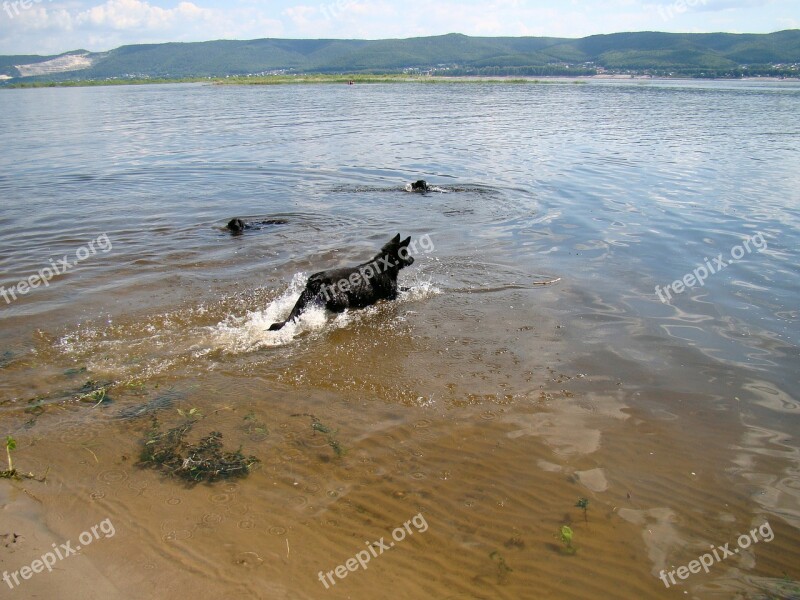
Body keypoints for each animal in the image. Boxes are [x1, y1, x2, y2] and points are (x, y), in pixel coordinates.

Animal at [270, 232, 418, 330]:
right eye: (405, 253)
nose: (413, 260)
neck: (384, 265)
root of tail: (316, 279)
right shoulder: (392, 294)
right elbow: (407, 288)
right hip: (342, 300)